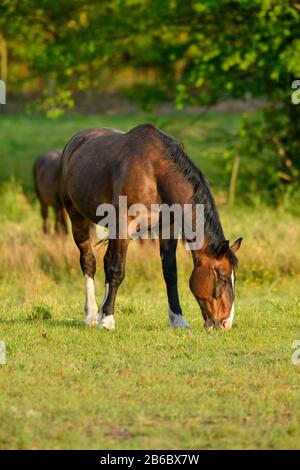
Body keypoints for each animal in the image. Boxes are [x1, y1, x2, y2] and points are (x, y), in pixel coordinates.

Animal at [59, 124, 243, 330]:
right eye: (222, 278)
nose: (226, 322)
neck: (155, 174)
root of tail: (75, 141)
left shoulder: (168, 228)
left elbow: (170, 273)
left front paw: (178, 319)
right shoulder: (124, 227)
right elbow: (117, 271)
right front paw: (107, 320)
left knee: (106, 261)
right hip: (77, 217)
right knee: (89, 262)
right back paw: (91, 314)